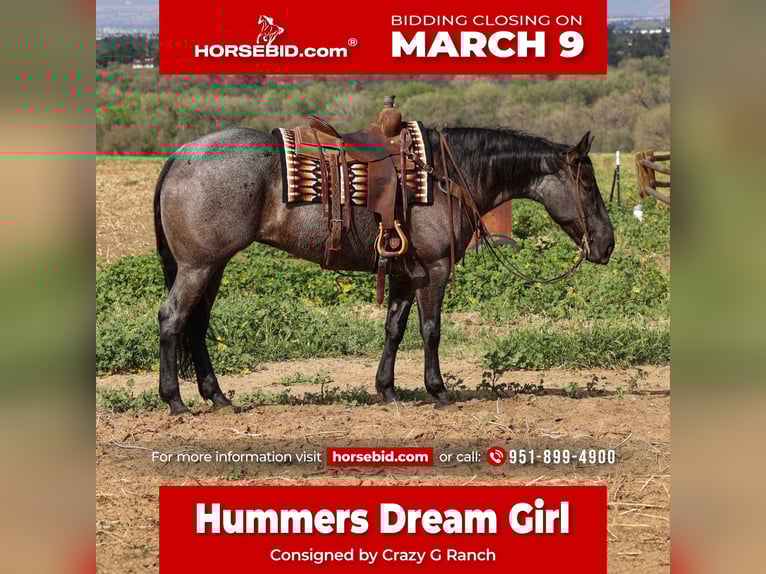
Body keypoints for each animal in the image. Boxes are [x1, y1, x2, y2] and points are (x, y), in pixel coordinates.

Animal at [153, 126, 615, 415]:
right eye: (587, 184)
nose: (607, 244)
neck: (444, 176)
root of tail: (180, 156)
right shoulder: (434, 270)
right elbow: (431, 330)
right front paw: (438, 390)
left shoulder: (405, 274)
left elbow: (394, 329)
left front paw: (387, 390)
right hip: (198, 268)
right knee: (173, 320)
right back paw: (175, 400)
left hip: (212, 268)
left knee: (196, 325)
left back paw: (217, 397)